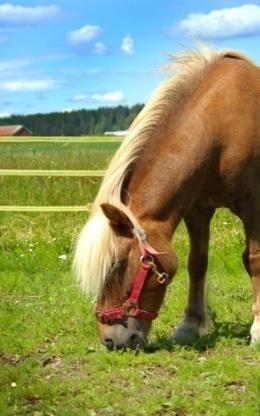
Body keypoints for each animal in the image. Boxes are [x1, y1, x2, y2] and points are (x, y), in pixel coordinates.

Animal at [73, 46, 260, 352]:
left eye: (118, 265)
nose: (112, 340)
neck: (221, 126)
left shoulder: (252, 206)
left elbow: (253, 259)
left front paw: (257, 327)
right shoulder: (197, 209)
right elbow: (197, 262)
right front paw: (189, 326)